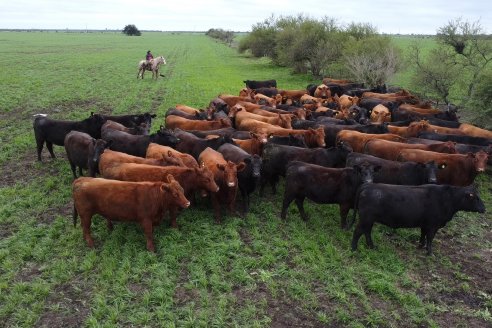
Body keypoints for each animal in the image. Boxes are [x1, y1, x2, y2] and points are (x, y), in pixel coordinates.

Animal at [352, 183, 486, 255]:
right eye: (475, 198)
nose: (484, 209)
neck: (448, 199)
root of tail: (368, 185)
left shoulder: (425, 224)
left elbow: (423, 235)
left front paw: (421, 246)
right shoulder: (433, 225)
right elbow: (430, 238)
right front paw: (430, 252)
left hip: (369, 220)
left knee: (366, 232)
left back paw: (371, 246)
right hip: (366, 219)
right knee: (358, 231)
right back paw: (354, 249)